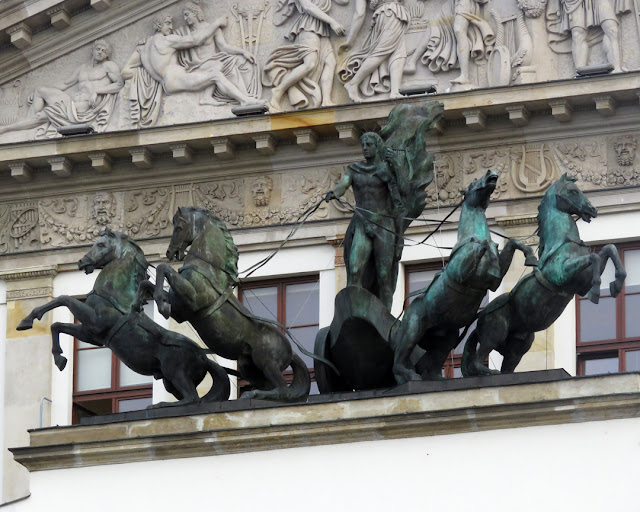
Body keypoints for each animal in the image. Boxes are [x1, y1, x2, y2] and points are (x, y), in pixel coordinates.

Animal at [136, 206, 312, 402]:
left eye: (179, 228)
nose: (169, 252)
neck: (206, 269)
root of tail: (291, 351)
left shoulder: (192, 300)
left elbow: (163, 268)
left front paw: (161, 303)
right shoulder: (180, 311)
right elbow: (148, 282)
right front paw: (140, 301)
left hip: (266, 361)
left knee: (282, 390)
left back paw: (253, 394)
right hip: (247, 366)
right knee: (271, 387)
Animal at [392, 171, 536, 384]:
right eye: (473, 182)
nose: (490, 173)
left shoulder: (492, 281)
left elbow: (511, 244)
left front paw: (529, 257)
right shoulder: (460, 273)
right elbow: (481, 245)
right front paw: (488, 251)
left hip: (446, 337)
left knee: (432, 363)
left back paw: (437, 378)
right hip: (413, 328)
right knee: (400, 358)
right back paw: (409, 375)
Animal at [462, 174, 628, 378]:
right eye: (573, 191)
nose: (593, 209)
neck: (564, 243)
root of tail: (480, 317)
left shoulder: (582, 284)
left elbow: (609, 249)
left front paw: (616, 284)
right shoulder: (562, 275)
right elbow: (594, 257)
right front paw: (597, 290)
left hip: (518, 346)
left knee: (506, 365)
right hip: (495, 332)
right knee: (478, 360)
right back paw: (490, 373)